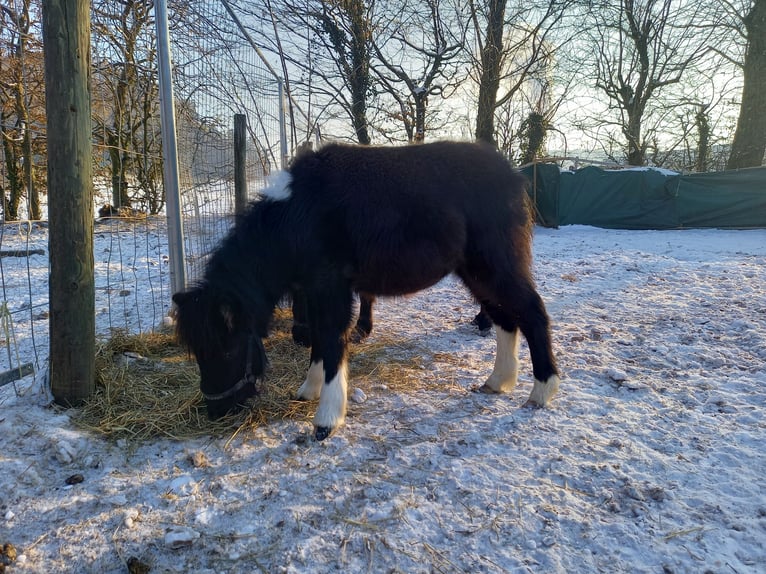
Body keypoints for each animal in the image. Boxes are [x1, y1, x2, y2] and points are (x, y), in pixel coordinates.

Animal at [172, 141, 560, 441]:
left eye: (226, 347)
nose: (217, 410)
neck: (298, 215)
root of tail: (512, 177)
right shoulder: (316, 291)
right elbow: (319, 342)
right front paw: (309, 390)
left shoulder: (332, 288)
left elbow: (332, 343)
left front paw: (327, 420)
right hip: (476, 273)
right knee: (504, 319)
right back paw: (498, 381)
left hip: (496, 267)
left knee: (532, 313)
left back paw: (542, 390)